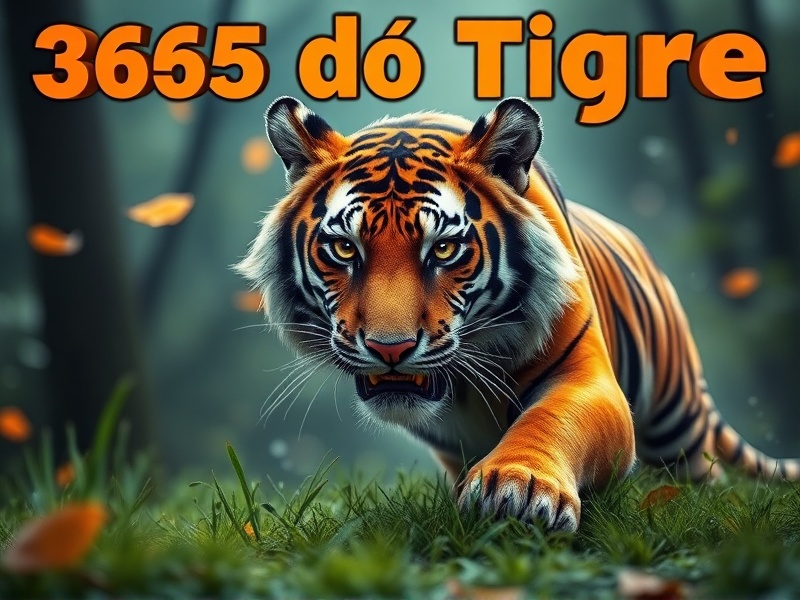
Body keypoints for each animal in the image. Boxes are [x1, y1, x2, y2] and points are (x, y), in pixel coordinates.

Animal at [236, 96, 800, 532]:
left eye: (444, 250)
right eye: (344, 248)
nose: (388, 348)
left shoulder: (587, 376)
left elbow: (552, 420)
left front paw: (520, 488)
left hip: (676, 420)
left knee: (707, 474)